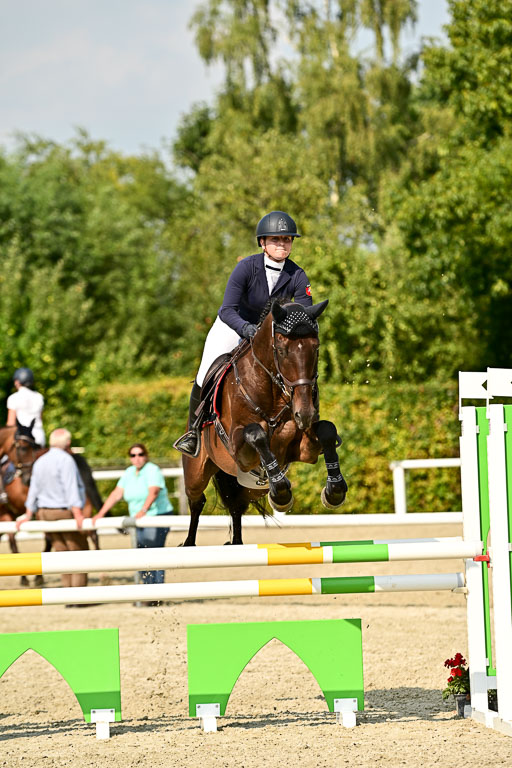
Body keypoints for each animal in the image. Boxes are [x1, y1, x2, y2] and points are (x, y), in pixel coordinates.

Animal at [181, 299, 348, 546]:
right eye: (282, 350)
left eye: (315, 348)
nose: (305, 413)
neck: (275, 393)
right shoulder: (239, 451)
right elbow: (256, 434)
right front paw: (281, 495)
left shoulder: (303, 448)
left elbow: (327, 429)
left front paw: (334, 491)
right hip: (196, 473)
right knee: (197, 501)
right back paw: (188, 543)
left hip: (249, 486)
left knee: (236, 505)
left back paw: (236, 543)